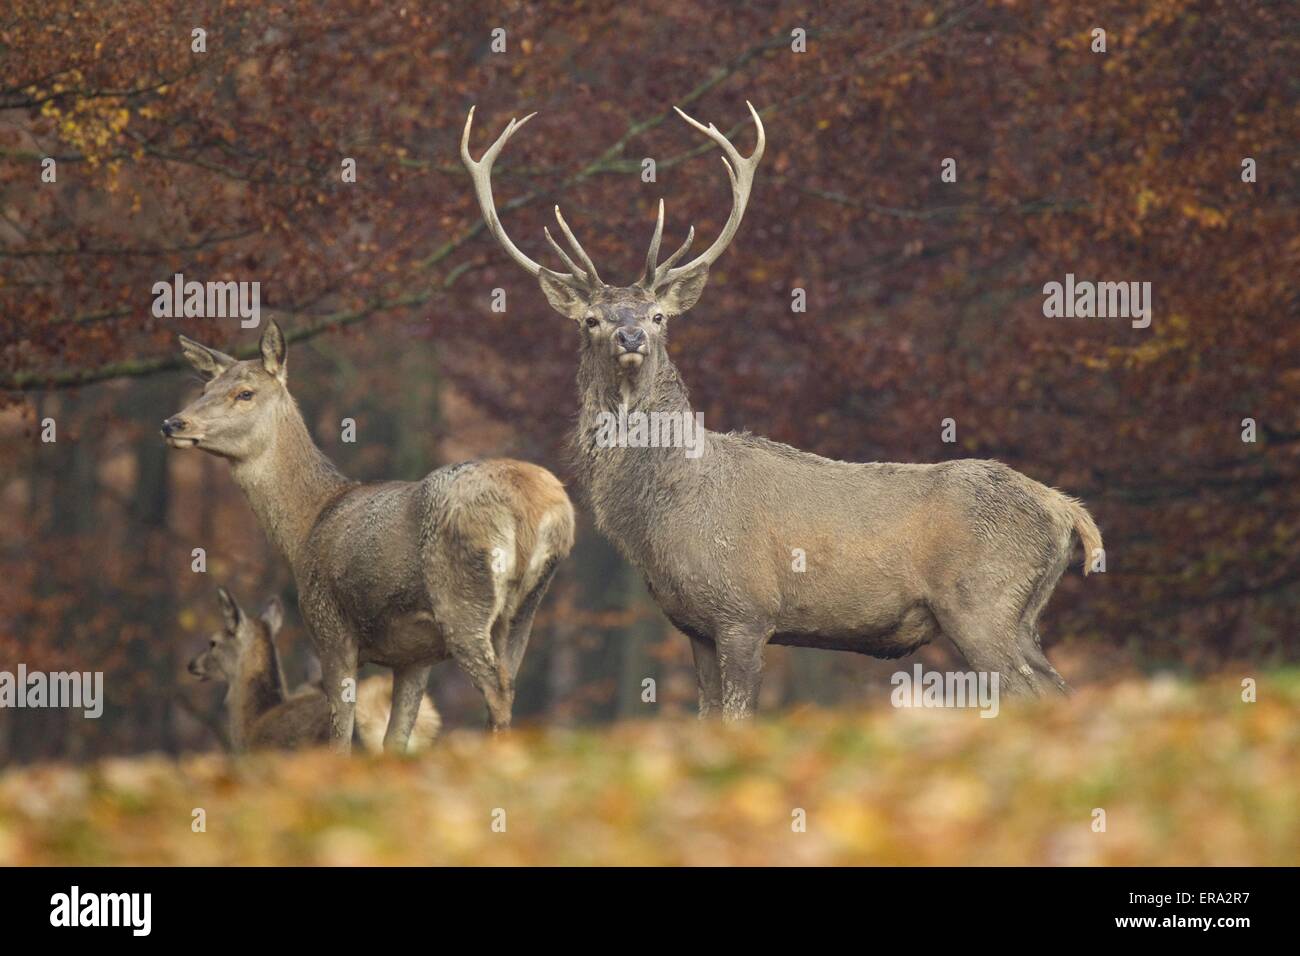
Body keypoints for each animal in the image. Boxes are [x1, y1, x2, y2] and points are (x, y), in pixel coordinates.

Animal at [462, 102, 1102, 717]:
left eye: (658, 316)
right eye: (591, 319)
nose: (630, 336)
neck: (665, 515)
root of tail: (1065, 510)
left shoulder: (745, 610)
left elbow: (740, 718)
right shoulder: (695, 626)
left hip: (983, 603)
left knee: (1035, 694)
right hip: (1020, 617)